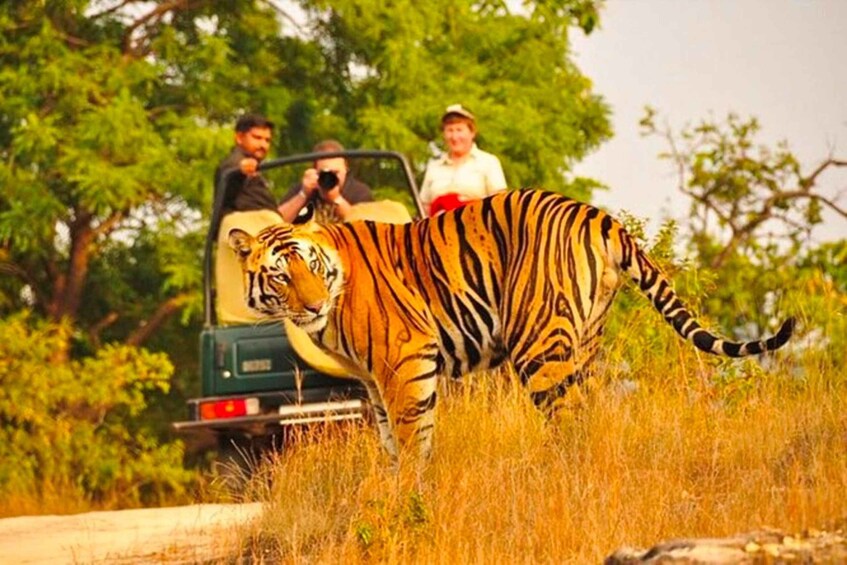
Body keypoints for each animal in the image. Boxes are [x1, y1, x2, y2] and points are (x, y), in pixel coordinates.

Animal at [228, 189, 794, 461]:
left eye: (309, 265)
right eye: (281, 275)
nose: (312, 306)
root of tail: (599, 215)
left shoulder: (405, 362)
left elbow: (412, 440)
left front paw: (409, 498)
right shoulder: (373, 381)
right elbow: (392, 441)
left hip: (539, 345)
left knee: (568, 421)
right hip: (584, 342)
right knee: (590, 413)